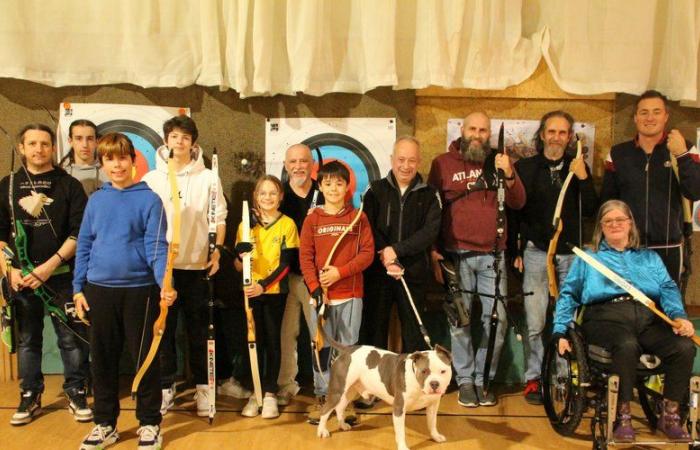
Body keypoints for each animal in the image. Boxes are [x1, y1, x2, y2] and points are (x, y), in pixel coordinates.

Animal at [314, 342, 452, 450]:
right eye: (424, 371)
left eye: (443, 371)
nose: (434, 383)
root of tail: (347, 350)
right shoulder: (398, 409)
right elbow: (401, 432)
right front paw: (403, 447)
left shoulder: (433, 405)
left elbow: (432, 423)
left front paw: (435, 436)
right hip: (337, 391)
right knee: (325, 410)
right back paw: (322, 431)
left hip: (350, 391)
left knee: (340, 407)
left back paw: (343, 425)